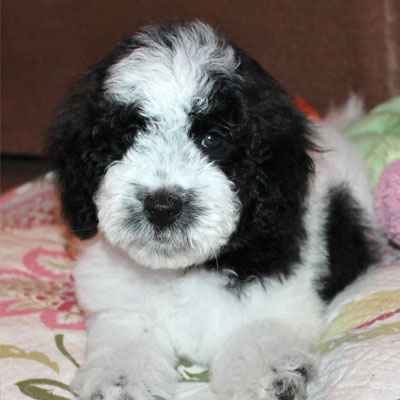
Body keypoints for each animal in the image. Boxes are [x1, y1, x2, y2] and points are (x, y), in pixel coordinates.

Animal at [50, 21, 382, 400]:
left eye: (212, 139)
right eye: (129, 135)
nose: (162, 206)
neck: (184, 270)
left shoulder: (278, 302)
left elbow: (258, 336)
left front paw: (265, 377)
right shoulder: (119, 307)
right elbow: (125, 338)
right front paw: (121, 380)